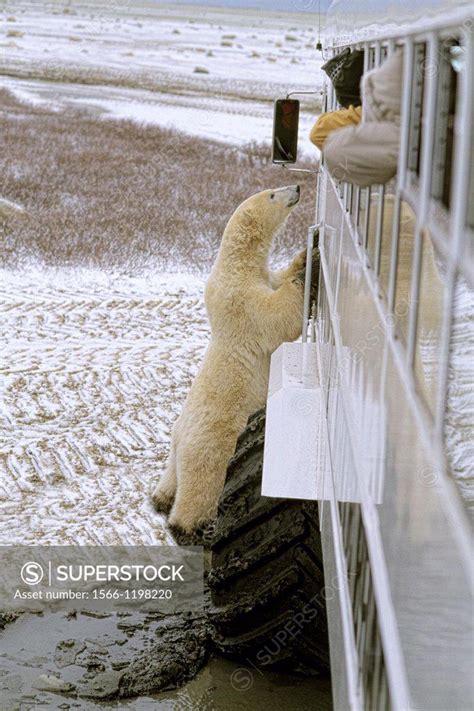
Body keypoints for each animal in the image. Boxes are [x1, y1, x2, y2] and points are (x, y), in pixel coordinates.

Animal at [153, 184, 308, 536]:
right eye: (272, 194)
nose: (297, 187)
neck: (236, 265)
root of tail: (180, 442)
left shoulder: (261, 279)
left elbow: (278, 279)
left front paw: (301, 257)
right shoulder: (240, 300)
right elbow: (276, 317)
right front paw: (307, 268)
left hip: (177, 443)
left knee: (170, 475)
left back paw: (160, 497)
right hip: (211, 441)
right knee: (202, 483)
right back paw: (188, 524)